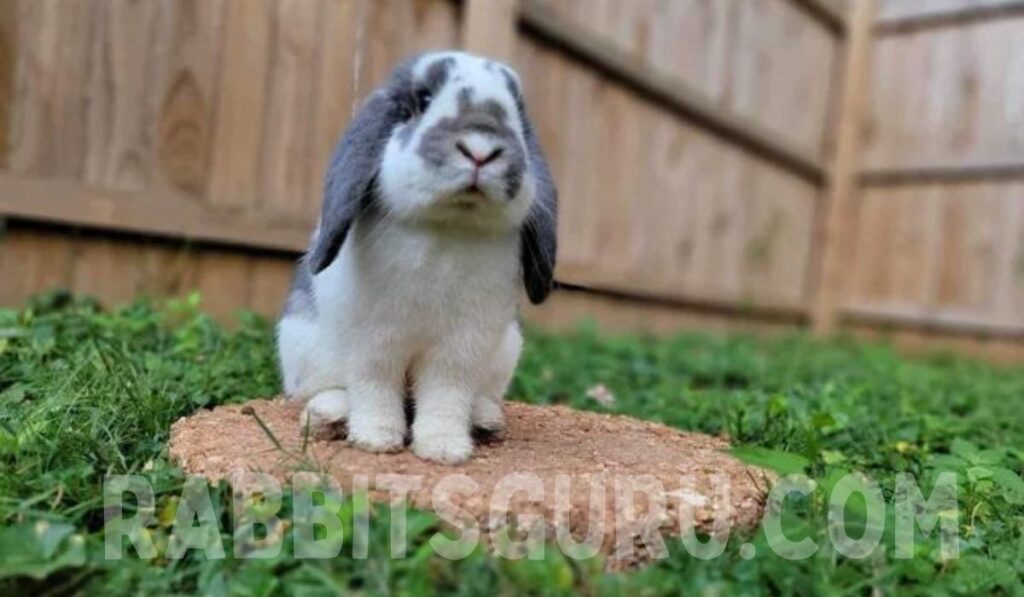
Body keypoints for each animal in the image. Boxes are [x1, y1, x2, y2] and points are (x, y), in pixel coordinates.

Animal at [276, 50, 557, 466]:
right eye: (422, 100)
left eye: (516, 111)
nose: (480, 149)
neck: (446, 225)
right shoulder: (372, 341)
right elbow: (374, 385)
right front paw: (376, 440)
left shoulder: (460, 348)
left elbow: (446, 394)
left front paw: (444, 449)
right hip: (302, 349)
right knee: (325, 390)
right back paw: (330, 413)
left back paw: (485, 420)